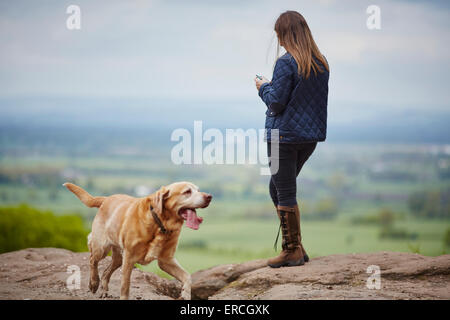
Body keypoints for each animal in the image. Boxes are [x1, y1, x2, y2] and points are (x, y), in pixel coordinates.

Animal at [63, 182, 213, 300]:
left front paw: (186, 294)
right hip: (102, 247)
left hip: (119, 257)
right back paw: (94, 283)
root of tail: (106, 199)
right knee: (92, 260)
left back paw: (104, 289)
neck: (159, 223)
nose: (209, 197)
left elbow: (187, 276)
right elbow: (125, 286)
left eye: (198, 190)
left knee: (106, 271)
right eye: (187, 192)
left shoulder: (166, 260)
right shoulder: (129, 258)